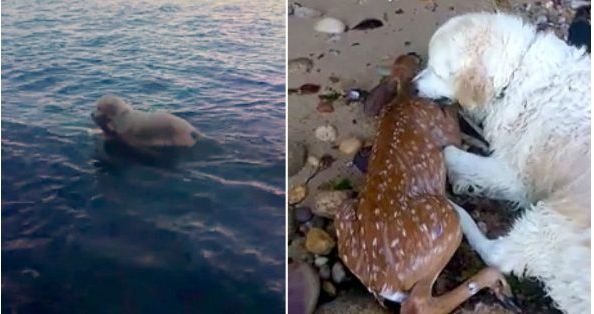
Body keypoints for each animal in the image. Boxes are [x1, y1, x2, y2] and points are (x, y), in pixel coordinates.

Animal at [336, 54, 516, 314]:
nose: (414, 54)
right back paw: (496, 281)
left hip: (343, 213)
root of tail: (383, 280)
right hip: (444, 222)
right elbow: (458, 126)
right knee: (420, 304)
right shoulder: (449, 133)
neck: (403, 96)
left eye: (406, 60)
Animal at [414, 12, 588, 314]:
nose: (413, 85)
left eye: (436, 70)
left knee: (499, 257)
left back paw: (458, 213)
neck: (516, 74)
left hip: (554, 219)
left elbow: (450, 153)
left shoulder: (514, 174)